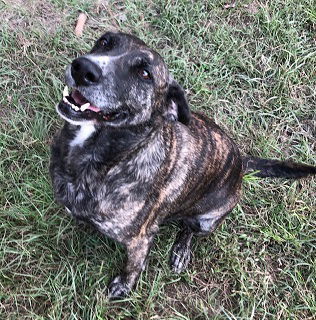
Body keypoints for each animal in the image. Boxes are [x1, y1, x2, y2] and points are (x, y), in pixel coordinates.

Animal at [49, 31, 316, 298]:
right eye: (104, 42)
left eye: (144, 73)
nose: (83, 68)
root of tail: (241, 162)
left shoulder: (140, 241)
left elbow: (133, 267)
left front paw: (123, 286)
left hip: (206, 220)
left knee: (189, 230)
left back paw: (181, 251)